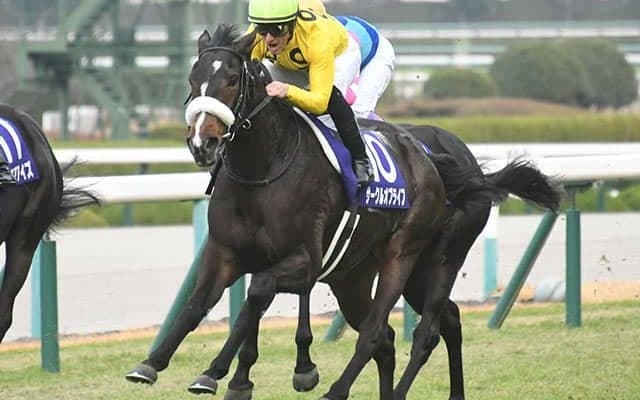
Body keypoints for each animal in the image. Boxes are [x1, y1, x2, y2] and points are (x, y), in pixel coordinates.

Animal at [125, 24, 560, 400]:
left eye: (232, 79)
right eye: (192, 80)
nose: (203, 143)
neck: (263, 170)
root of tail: (437, 161)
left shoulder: (304, 259)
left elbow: (258, 292)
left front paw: (219, 372)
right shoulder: (226, 253)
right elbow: (198, 304)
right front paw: (154, 363)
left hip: (420, 256)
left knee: (397, 332)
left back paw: (344, 390)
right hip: (363, 276)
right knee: (426, 325)